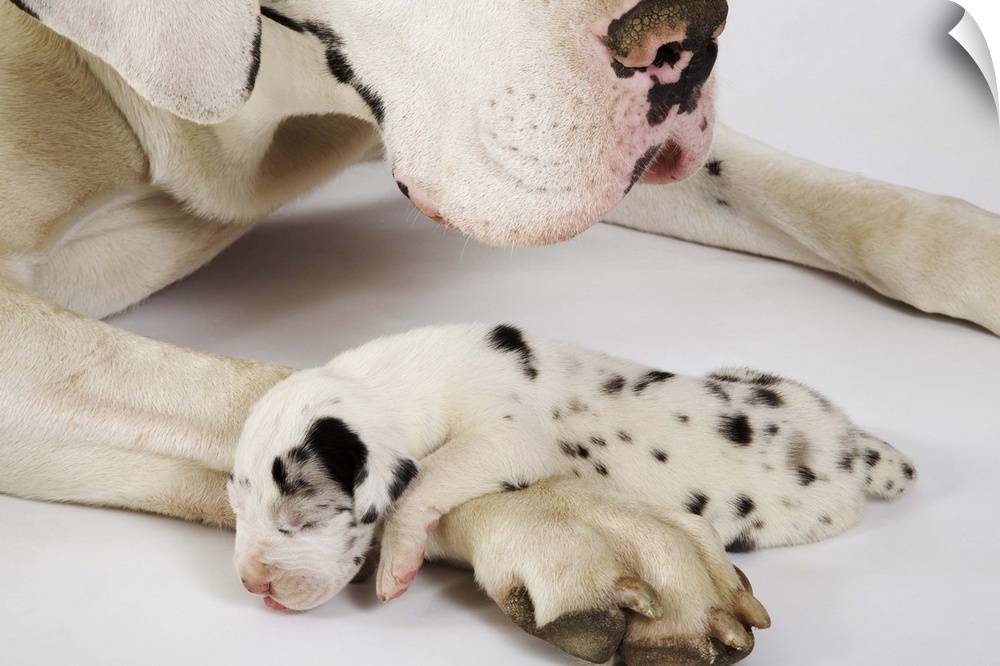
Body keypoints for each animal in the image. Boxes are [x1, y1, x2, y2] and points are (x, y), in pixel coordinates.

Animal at [229, 323, 915, 663]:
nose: (252, 584)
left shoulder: (508, 435)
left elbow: (426, 478)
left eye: (299, 522)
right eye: (238, 510)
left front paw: (397, 561)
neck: (393, 383)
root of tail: (859, 448)